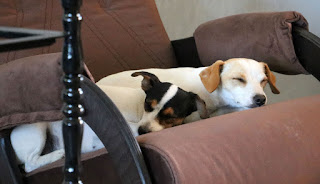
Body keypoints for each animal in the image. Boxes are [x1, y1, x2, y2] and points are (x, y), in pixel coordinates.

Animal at [10, 71, 208, 172]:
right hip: (37, 129)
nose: (143, 131)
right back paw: (59, 154)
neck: (138, 111)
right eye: (148, 104)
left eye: (170, 117)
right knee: (29, 164)